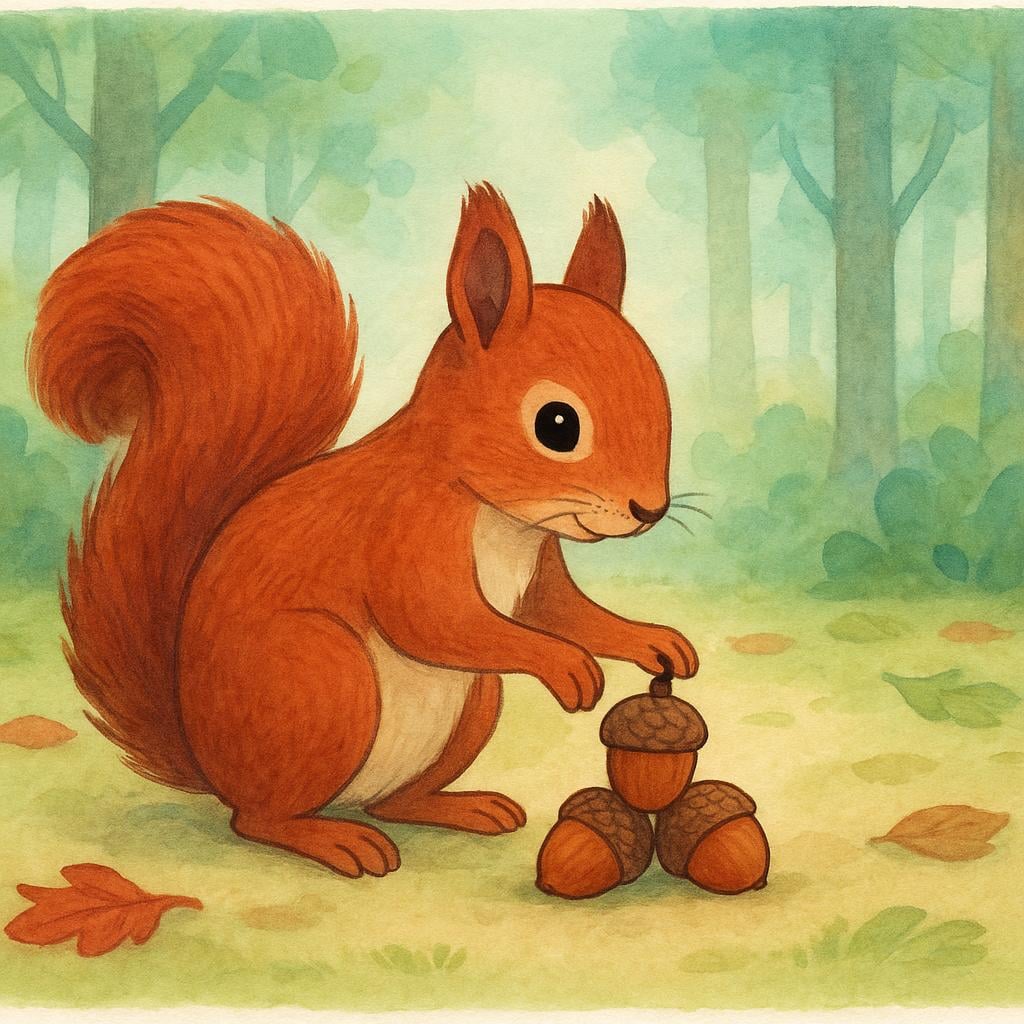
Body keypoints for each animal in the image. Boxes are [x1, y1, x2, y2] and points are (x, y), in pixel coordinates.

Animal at [28, 183, 699, 878]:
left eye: (661, 393)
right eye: (557, 424)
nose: (649, 510)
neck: (494, 514)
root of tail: (208, 765)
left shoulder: (537, 568)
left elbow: (564, 611)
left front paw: (651, 640)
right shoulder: (403, 532)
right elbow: (434, 620)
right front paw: (564, 663)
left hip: (470, 705)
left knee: (393, 802)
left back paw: (462, 808)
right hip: (321, 680)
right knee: (258, 819)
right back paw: (334, 841)